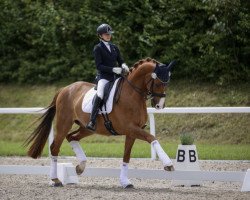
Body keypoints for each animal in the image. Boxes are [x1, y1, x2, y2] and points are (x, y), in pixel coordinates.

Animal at [24, 57, 174, 188]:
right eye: (159, 83)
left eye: (167, 83)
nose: (160, 105)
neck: (132, 94)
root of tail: (64, 89)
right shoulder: (130, 128)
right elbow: (151, 138)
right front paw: (168, 164)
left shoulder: (132, 132)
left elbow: (126, 156)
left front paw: (125, 182)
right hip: (64, 123)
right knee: (55, 147)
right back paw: (55, 180)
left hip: (88, 128)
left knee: (72, 137)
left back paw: (80, 166)